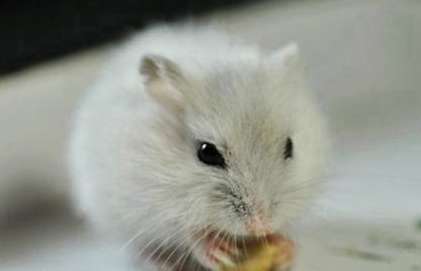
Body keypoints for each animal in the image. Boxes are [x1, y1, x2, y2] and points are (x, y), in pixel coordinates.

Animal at [69, 24, 328, 270]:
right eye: (207, 153)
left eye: (289, 147)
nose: (260, 225)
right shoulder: (157, 205)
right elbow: (188, 232)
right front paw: (219, 252)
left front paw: (284, 248)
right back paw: (163, 263)